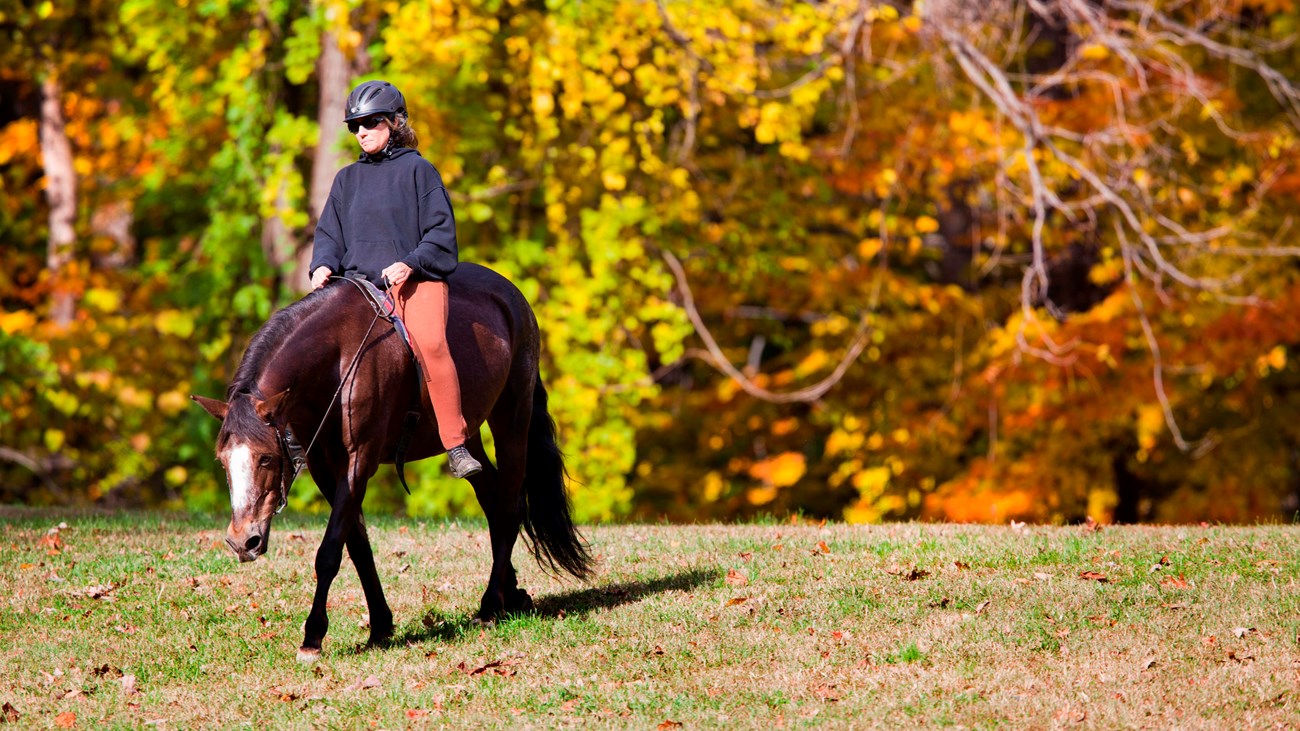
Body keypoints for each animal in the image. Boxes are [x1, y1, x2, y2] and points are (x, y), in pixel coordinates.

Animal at [189, 262, 595, 660]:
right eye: (223, 462)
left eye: (266, 458)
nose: (243, 542)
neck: (339, 356)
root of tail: (512, 297)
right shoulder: (324, 466)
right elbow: (357, 546)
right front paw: (380, 626)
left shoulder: (360, 460)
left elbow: (329, 551)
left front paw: (313, 636)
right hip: (468, 433)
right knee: (492, 499)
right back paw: (510, 594)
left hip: (512, 417)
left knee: (510, 505)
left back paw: (490, 605)